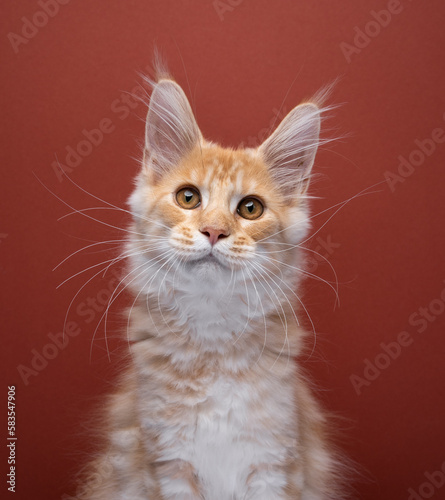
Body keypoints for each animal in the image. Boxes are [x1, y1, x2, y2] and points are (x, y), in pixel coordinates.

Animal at [78, 66, 346, 500]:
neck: (213, 335)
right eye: (188, 198)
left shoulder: (275, 463)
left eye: (250, 208)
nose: (214, 231)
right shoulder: (167, 463)